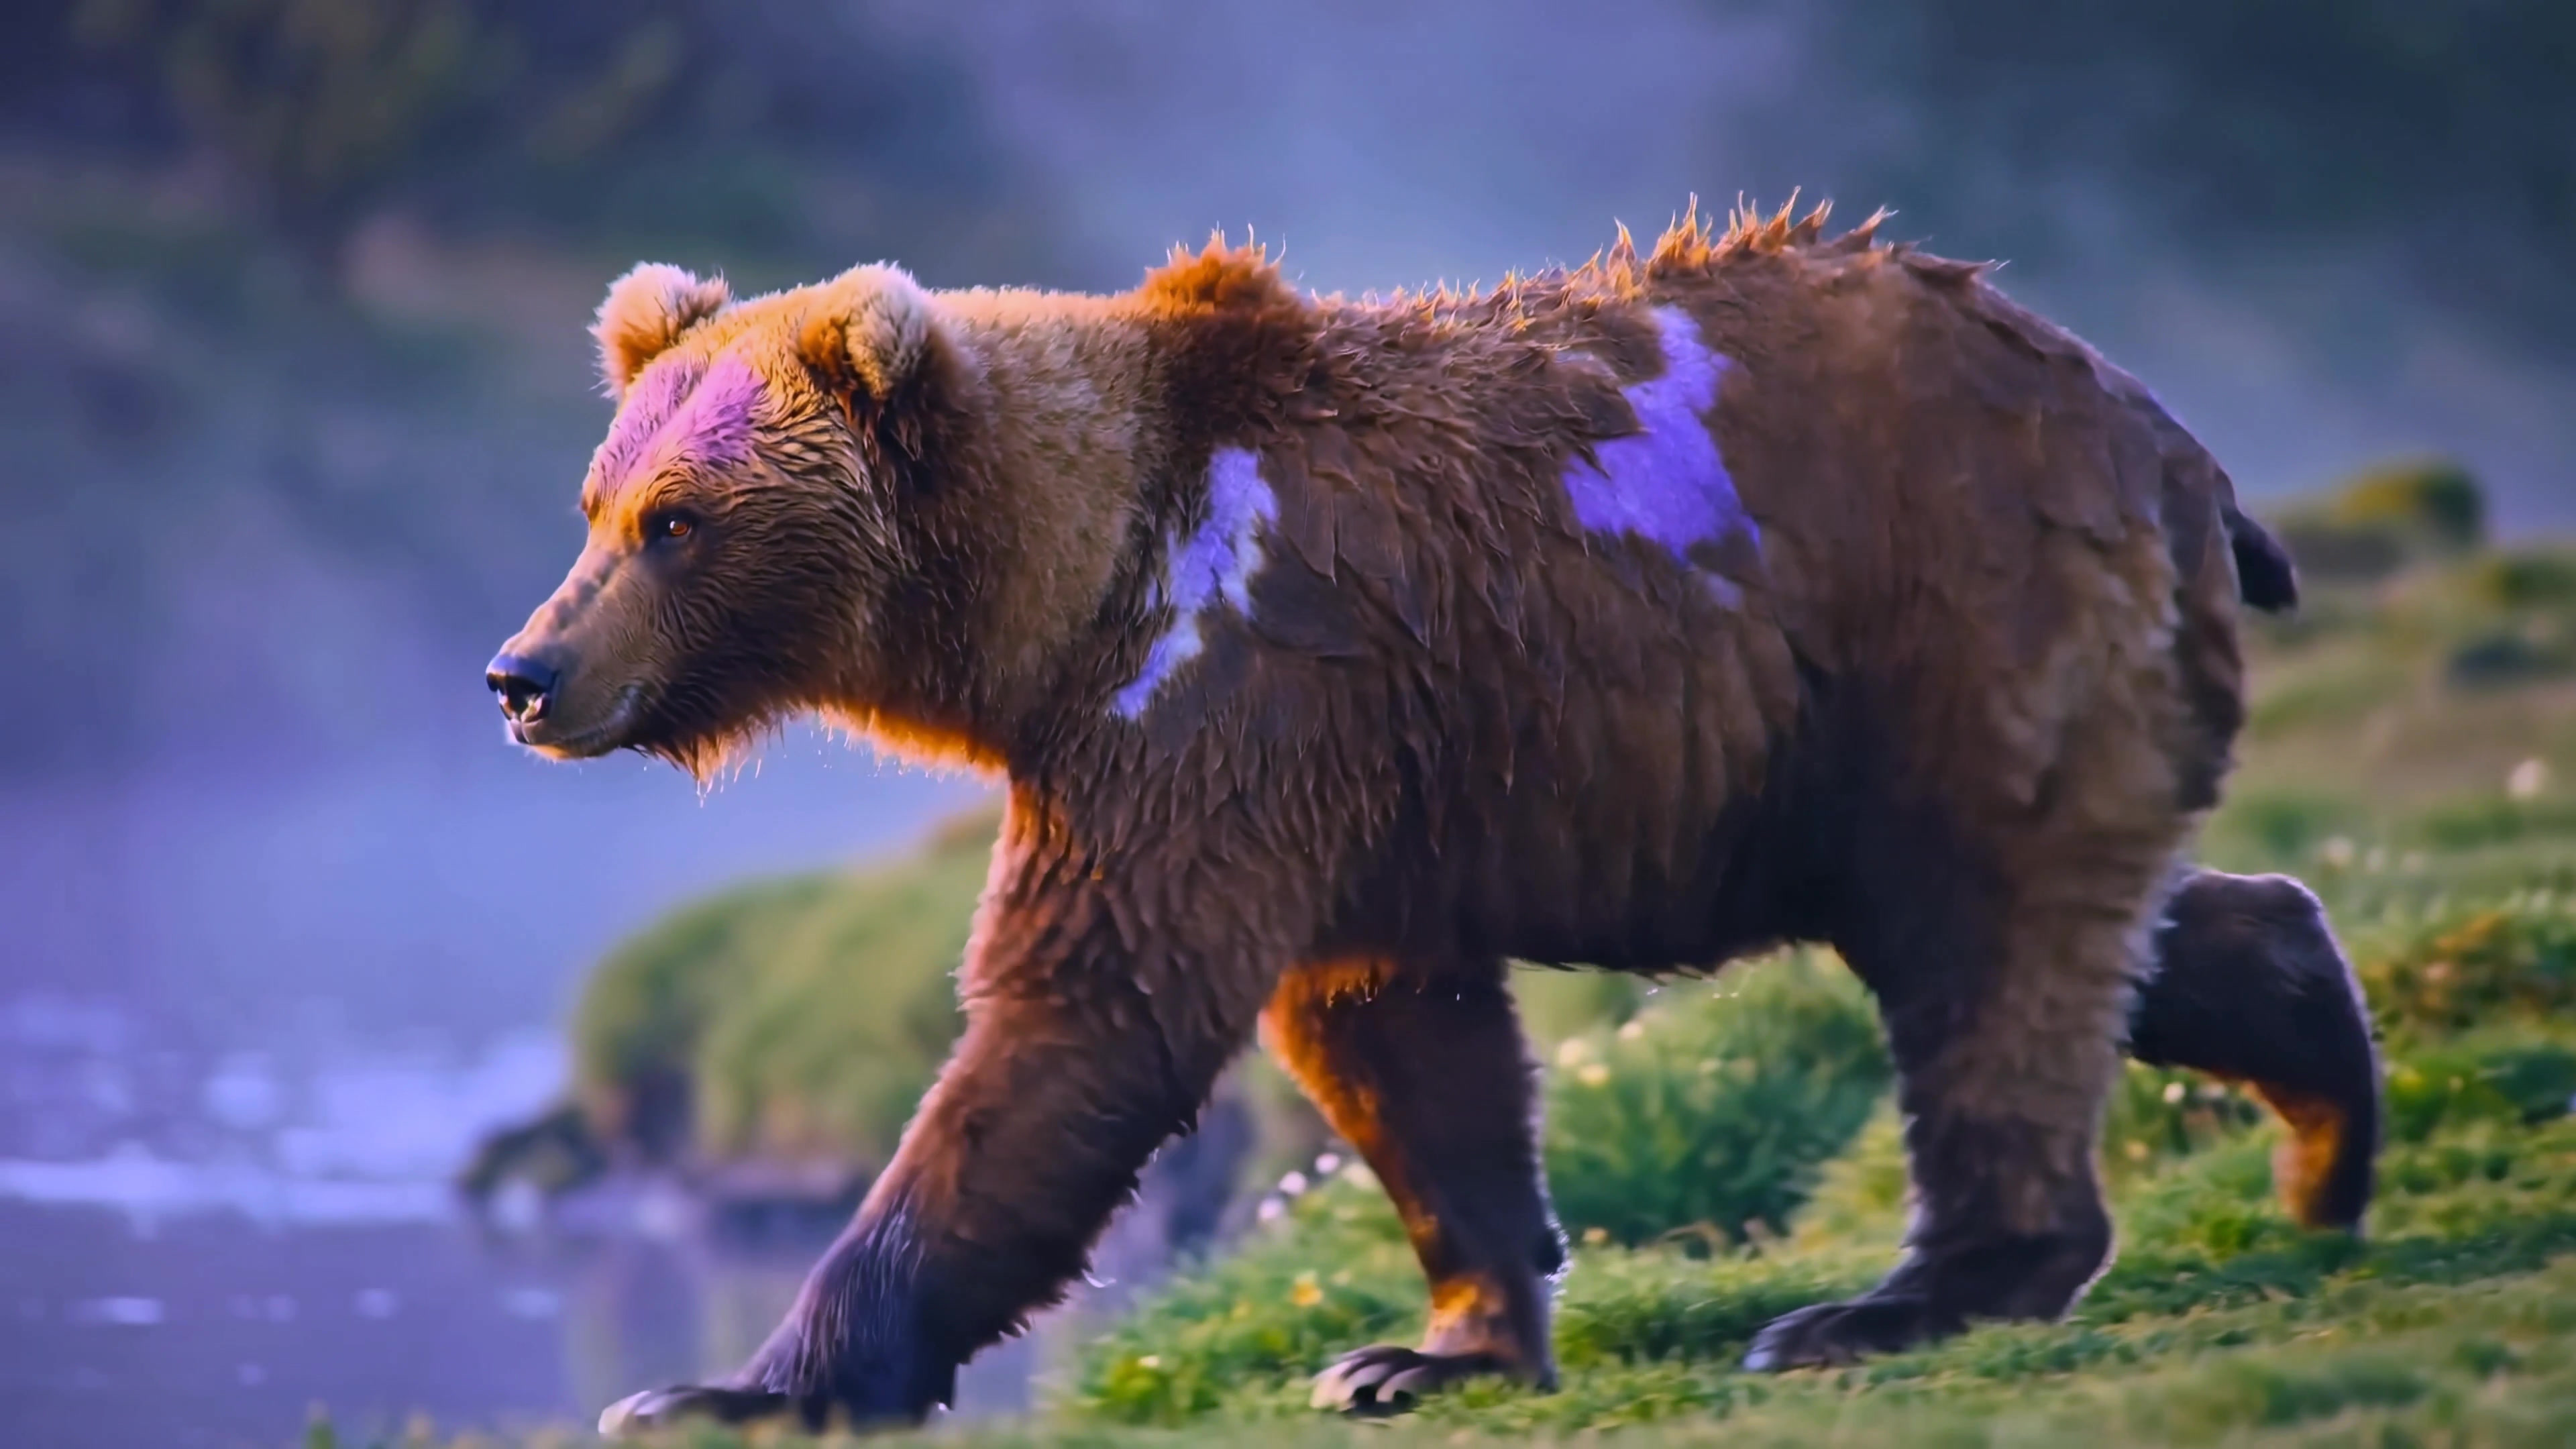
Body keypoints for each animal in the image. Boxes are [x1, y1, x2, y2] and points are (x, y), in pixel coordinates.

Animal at [482, 199, 2377, 1435]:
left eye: (677, 520)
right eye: (595, 500)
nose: (523, 671)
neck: (1065, 592)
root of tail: (2163, 438)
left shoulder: (1223, 693)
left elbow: (1080, 1020)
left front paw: (718, 1386)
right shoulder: (1343, 777)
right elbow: (1395, 1039)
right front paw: (1425, 1345)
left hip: (1952, 617)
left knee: (1986, 951)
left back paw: (1890, 1303)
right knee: (2086, 920)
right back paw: (2321, 1108)